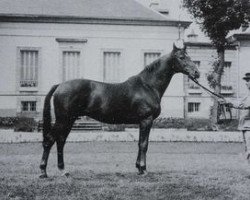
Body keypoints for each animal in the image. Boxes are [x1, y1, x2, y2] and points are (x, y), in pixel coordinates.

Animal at [39, 41, 199, 177]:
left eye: (189, 56)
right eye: (181, 57)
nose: (197, 73)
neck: (148, 85)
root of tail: (60, 85)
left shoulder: (142, 122)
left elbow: (140, 143)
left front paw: (139, 168)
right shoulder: (146, 120)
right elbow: (144, 144)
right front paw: (143, 169)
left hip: (69, 120)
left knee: (60, 141)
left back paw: (63, 171)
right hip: (63, 120)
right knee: (50, 140)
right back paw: (43, 172)